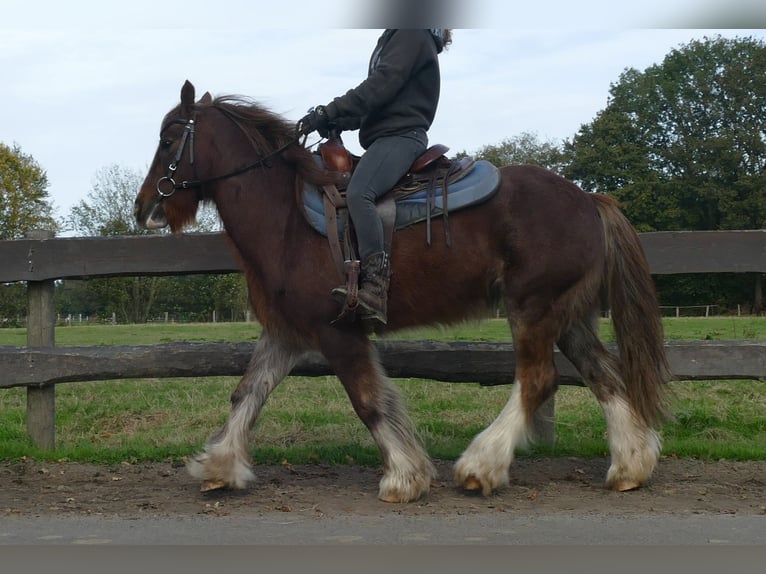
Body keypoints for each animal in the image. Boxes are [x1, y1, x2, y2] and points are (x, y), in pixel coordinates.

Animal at [135, 81, 668, 504]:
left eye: (168, 139)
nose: (143, 208)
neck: (286, 218)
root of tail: (588, 199)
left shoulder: (338, 332)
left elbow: (368, 400)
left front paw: (405, 477)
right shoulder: (287, 333)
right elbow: (248, 392)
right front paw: (219, 465)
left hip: (533, 309)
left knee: (539, 380)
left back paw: (481, 466)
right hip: (566, 315)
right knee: (604, 376)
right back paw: (630, 466)